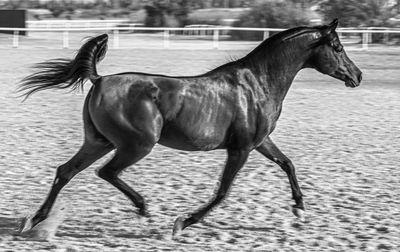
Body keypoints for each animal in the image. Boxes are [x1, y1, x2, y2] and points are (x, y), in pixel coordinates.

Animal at [18, 19, 362, 234]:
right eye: (337, 46)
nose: (357, 76)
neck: (258, 82)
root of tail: (99, 78)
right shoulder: (241, 148)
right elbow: (223, 191)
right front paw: (183, 223)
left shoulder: (260, 142)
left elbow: (287, 164)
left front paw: (300, 211)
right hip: (136, 145)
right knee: (107, 172)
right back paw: (144, 210)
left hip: (99, 142)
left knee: (66, 171)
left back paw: (35, 221)